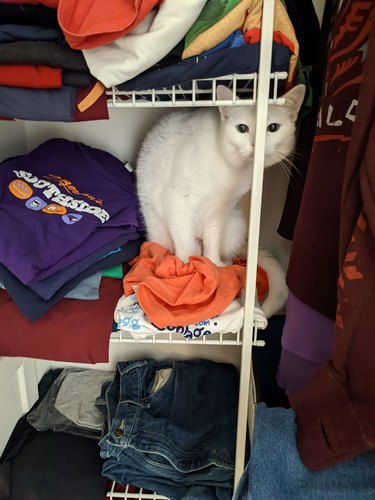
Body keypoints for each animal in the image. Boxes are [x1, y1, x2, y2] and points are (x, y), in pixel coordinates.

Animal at [137, 84, 306, 314]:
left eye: (272, 127)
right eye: (242, 128)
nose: (255, 145)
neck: (232, 170)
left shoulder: (219, 211)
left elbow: (213, 241)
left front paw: (213, 264)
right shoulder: (179, 204)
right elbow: (185, 246)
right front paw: (186, 268)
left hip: (235, 224)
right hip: (159, 230)